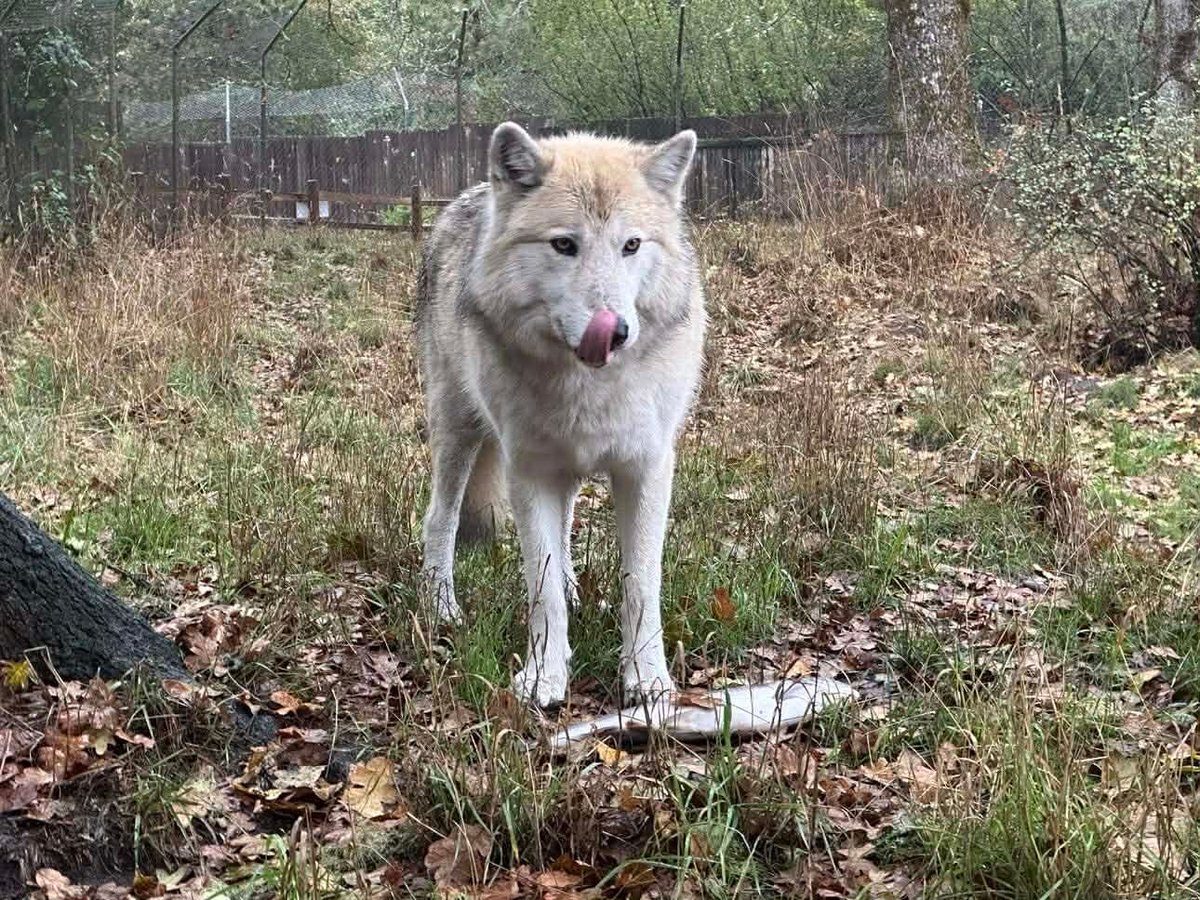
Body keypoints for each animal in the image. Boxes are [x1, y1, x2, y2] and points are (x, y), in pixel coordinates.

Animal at [415, 121, 705, 710]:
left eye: (631, 245)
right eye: (564, 245)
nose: (614, 331)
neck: (588, 386)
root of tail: (468, 197)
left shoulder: (646, 469)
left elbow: (641, 582)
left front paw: (648, 680)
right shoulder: (527, 474)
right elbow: (540, 586)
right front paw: (545, 678)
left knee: (569, 522)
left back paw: (576, 589)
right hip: (458, 431)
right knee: (440, 518)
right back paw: (441, 607)